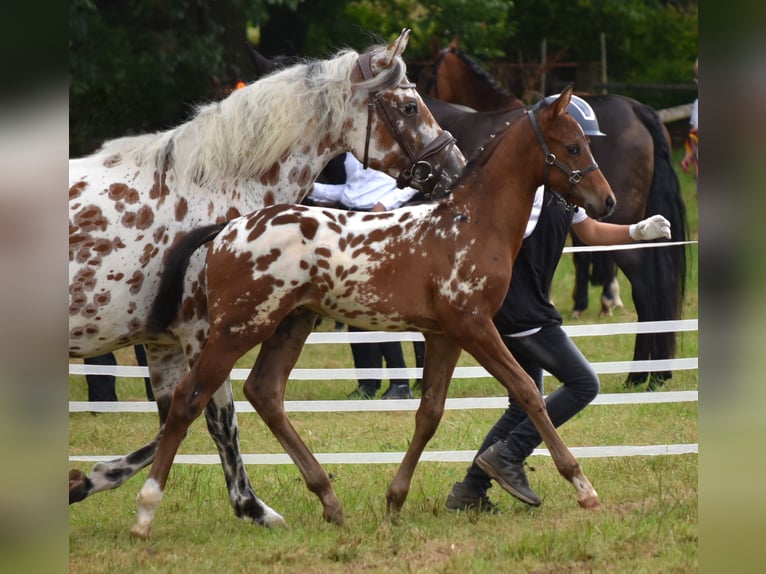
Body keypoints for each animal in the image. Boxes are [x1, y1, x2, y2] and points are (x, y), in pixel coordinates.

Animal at [67, 30, 468, 528]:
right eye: (410, 107)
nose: (457, 168)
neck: (209, 186)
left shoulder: (164, 344)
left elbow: (172, 423)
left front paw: (89, 480)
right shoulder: (205, 335)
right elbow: (217, 419)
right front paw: (252, 507)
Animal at [129, 86, 616, 540]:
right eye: (573, 147)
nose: (607, 201)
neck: (470, 222)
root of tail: (226, 231)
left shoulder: (444, 336)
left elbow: (429, 414)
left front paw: (395, 501)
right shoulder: (473, 326)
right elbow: (527, 391)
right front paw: (582, 486)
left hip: (290, 324)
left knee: (264, 392)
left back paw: (329, 500)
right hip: (237, 330)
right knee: (189, 401)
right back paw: (146, 512)